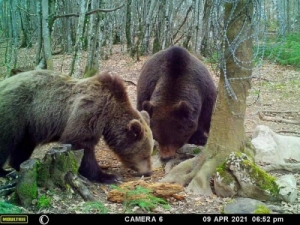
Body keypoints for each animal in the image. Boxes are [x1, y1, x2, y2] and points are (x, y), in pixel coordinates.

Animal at [0, 69, 154, 184]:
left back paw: (18, 165)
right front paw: (107, 176)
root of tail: (5, 82)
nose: (148, 172)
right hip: (15, 112)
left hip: (28, 125)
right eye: (145, 154)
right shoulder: (90, 112)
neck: (109, 116)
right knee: (5, 142)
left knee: (24, 145)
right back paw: (5, 172)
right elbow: (80, 144)